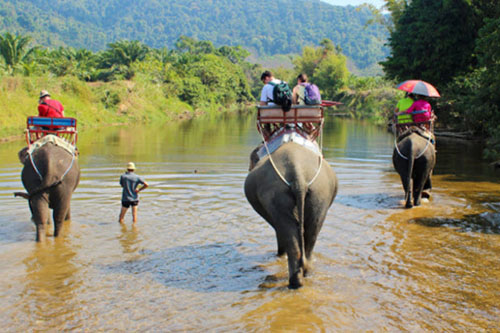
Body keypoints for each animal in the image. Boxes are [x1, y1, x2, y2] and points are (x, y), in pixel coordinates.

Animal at [244, 141, 338, 286]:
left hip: (275, 194)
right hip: (321, 193)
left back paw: (295, 282)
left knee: (288, 231)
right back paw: (306, 274)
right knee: (311, 234)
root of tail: (298, 171)